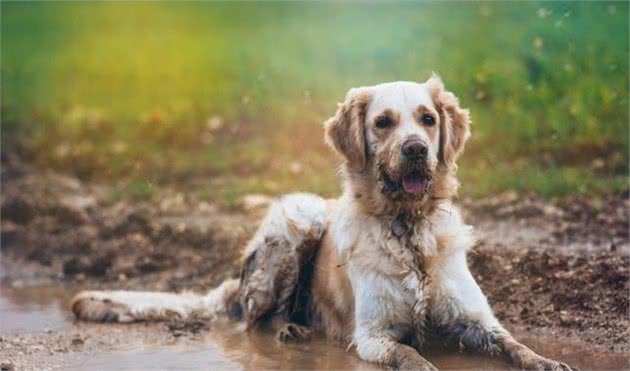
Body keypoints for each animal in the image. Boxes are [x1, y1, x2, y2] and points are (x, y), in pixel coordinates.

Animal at [73, 76, 572, 371]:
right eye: (383, 122)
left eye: (428, 120)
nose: (415, 149)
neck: (409, 229)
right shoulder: (372, 336)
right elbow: (409, 353)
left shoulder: (476, 320)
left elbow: (515, 344)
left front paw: (546, 361)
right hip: (298, 221)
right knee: (254, 320)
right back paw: (289, 329)